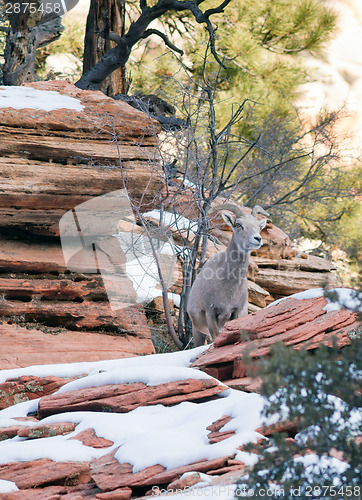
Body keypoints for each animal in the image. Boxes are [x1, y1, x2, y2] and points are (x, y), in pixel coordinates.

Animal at [187, 205, 268, 346]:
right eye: (239, 225)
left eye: (259, 227)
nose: (257, 239)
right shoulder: (210, 313)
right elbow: (216, 338)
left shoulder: (235, 313)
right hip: (197, 330)